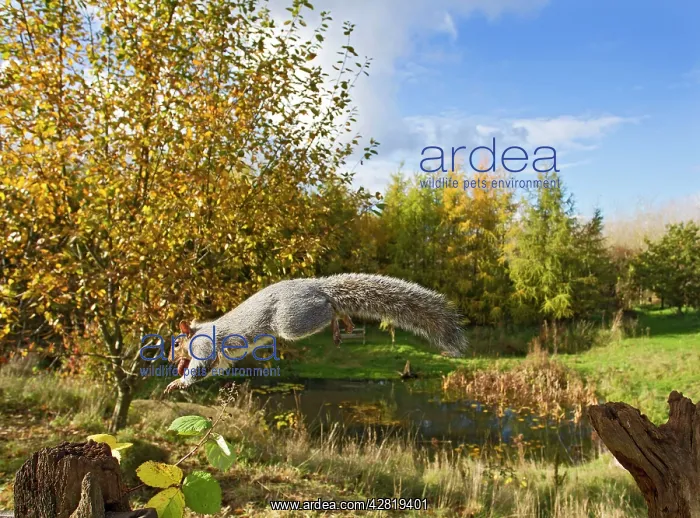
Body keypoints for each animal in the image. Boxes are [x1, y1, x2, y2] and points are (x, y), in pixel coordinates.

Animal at [164, 273, 467, 394]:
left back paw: (338, 320)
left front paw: (178, 382)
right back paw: (343, 324)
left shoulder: (205, 347)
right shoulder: (222, 359)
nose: (168, 360)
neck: (200, 329)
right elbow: (217, 368)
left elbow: (200, 368)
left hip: (292, 321)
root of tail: (316, 286)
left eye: (177, 344)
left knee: (328, 308)